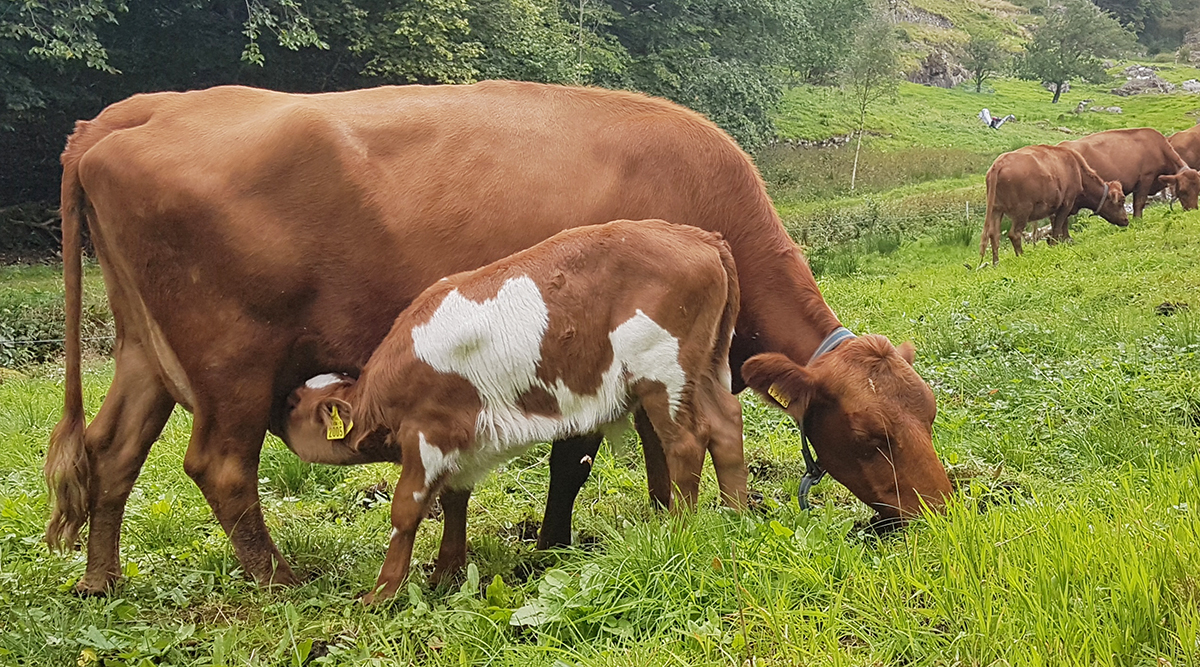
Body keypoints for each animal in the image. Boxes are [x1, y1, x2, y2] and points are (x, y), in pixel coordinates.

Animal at [284, 220, 744, 604]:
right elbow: (454, 499)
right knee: (726, 424)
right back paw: (737, 514)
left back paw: (679, 529)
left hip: (664, 370)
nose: (274, 411)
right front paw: (446, 575)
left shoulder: (428, 432)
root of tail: (697, 236)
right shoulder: (463, 440)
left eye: (292, 404)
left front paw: (381, 595)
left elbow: (406, 509)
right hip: (704, 367)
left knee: (685, 442)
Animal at [979, 144, 1128, 263]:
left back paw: (996, 263)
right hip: (1022, 212)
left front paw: (1065, 241)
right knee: (1014, 234)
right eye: (1121, 200)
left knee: (994, 235)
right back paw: (1021, 256)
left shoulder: (1056, 208)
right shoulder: (1066, 203)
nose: (1126, 220)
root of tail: (999, 163)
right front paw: (1056, 245)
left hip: (996, 210)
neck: (1077, 171)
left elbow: (1061, 225)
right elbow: (1058, 226)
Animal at [1065, 127, 1195, 215]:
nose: (1193, 210)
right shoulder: (1145, 179)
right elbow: (1139, 203)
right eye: (1183, 191)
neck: (1159, 148)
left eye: (1197, 189)